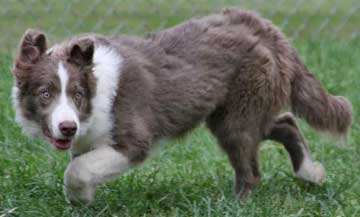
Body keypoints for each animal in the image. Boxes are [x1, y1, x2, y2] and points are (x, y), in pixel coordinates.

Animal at [11, 8, 352, 203]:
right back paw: (311, 173)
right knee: (285, 123)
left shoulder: (133, 140)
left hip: (237, 115)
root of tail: (256, 23)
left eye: (77, 94)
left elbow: (78, 170)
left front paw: (79, 197)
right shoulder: (87, 140)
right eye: (45, 94)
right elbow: (81, 163)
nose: (68, 127)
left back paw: (235, 205)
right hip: (235, 109)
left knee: (251, 168)